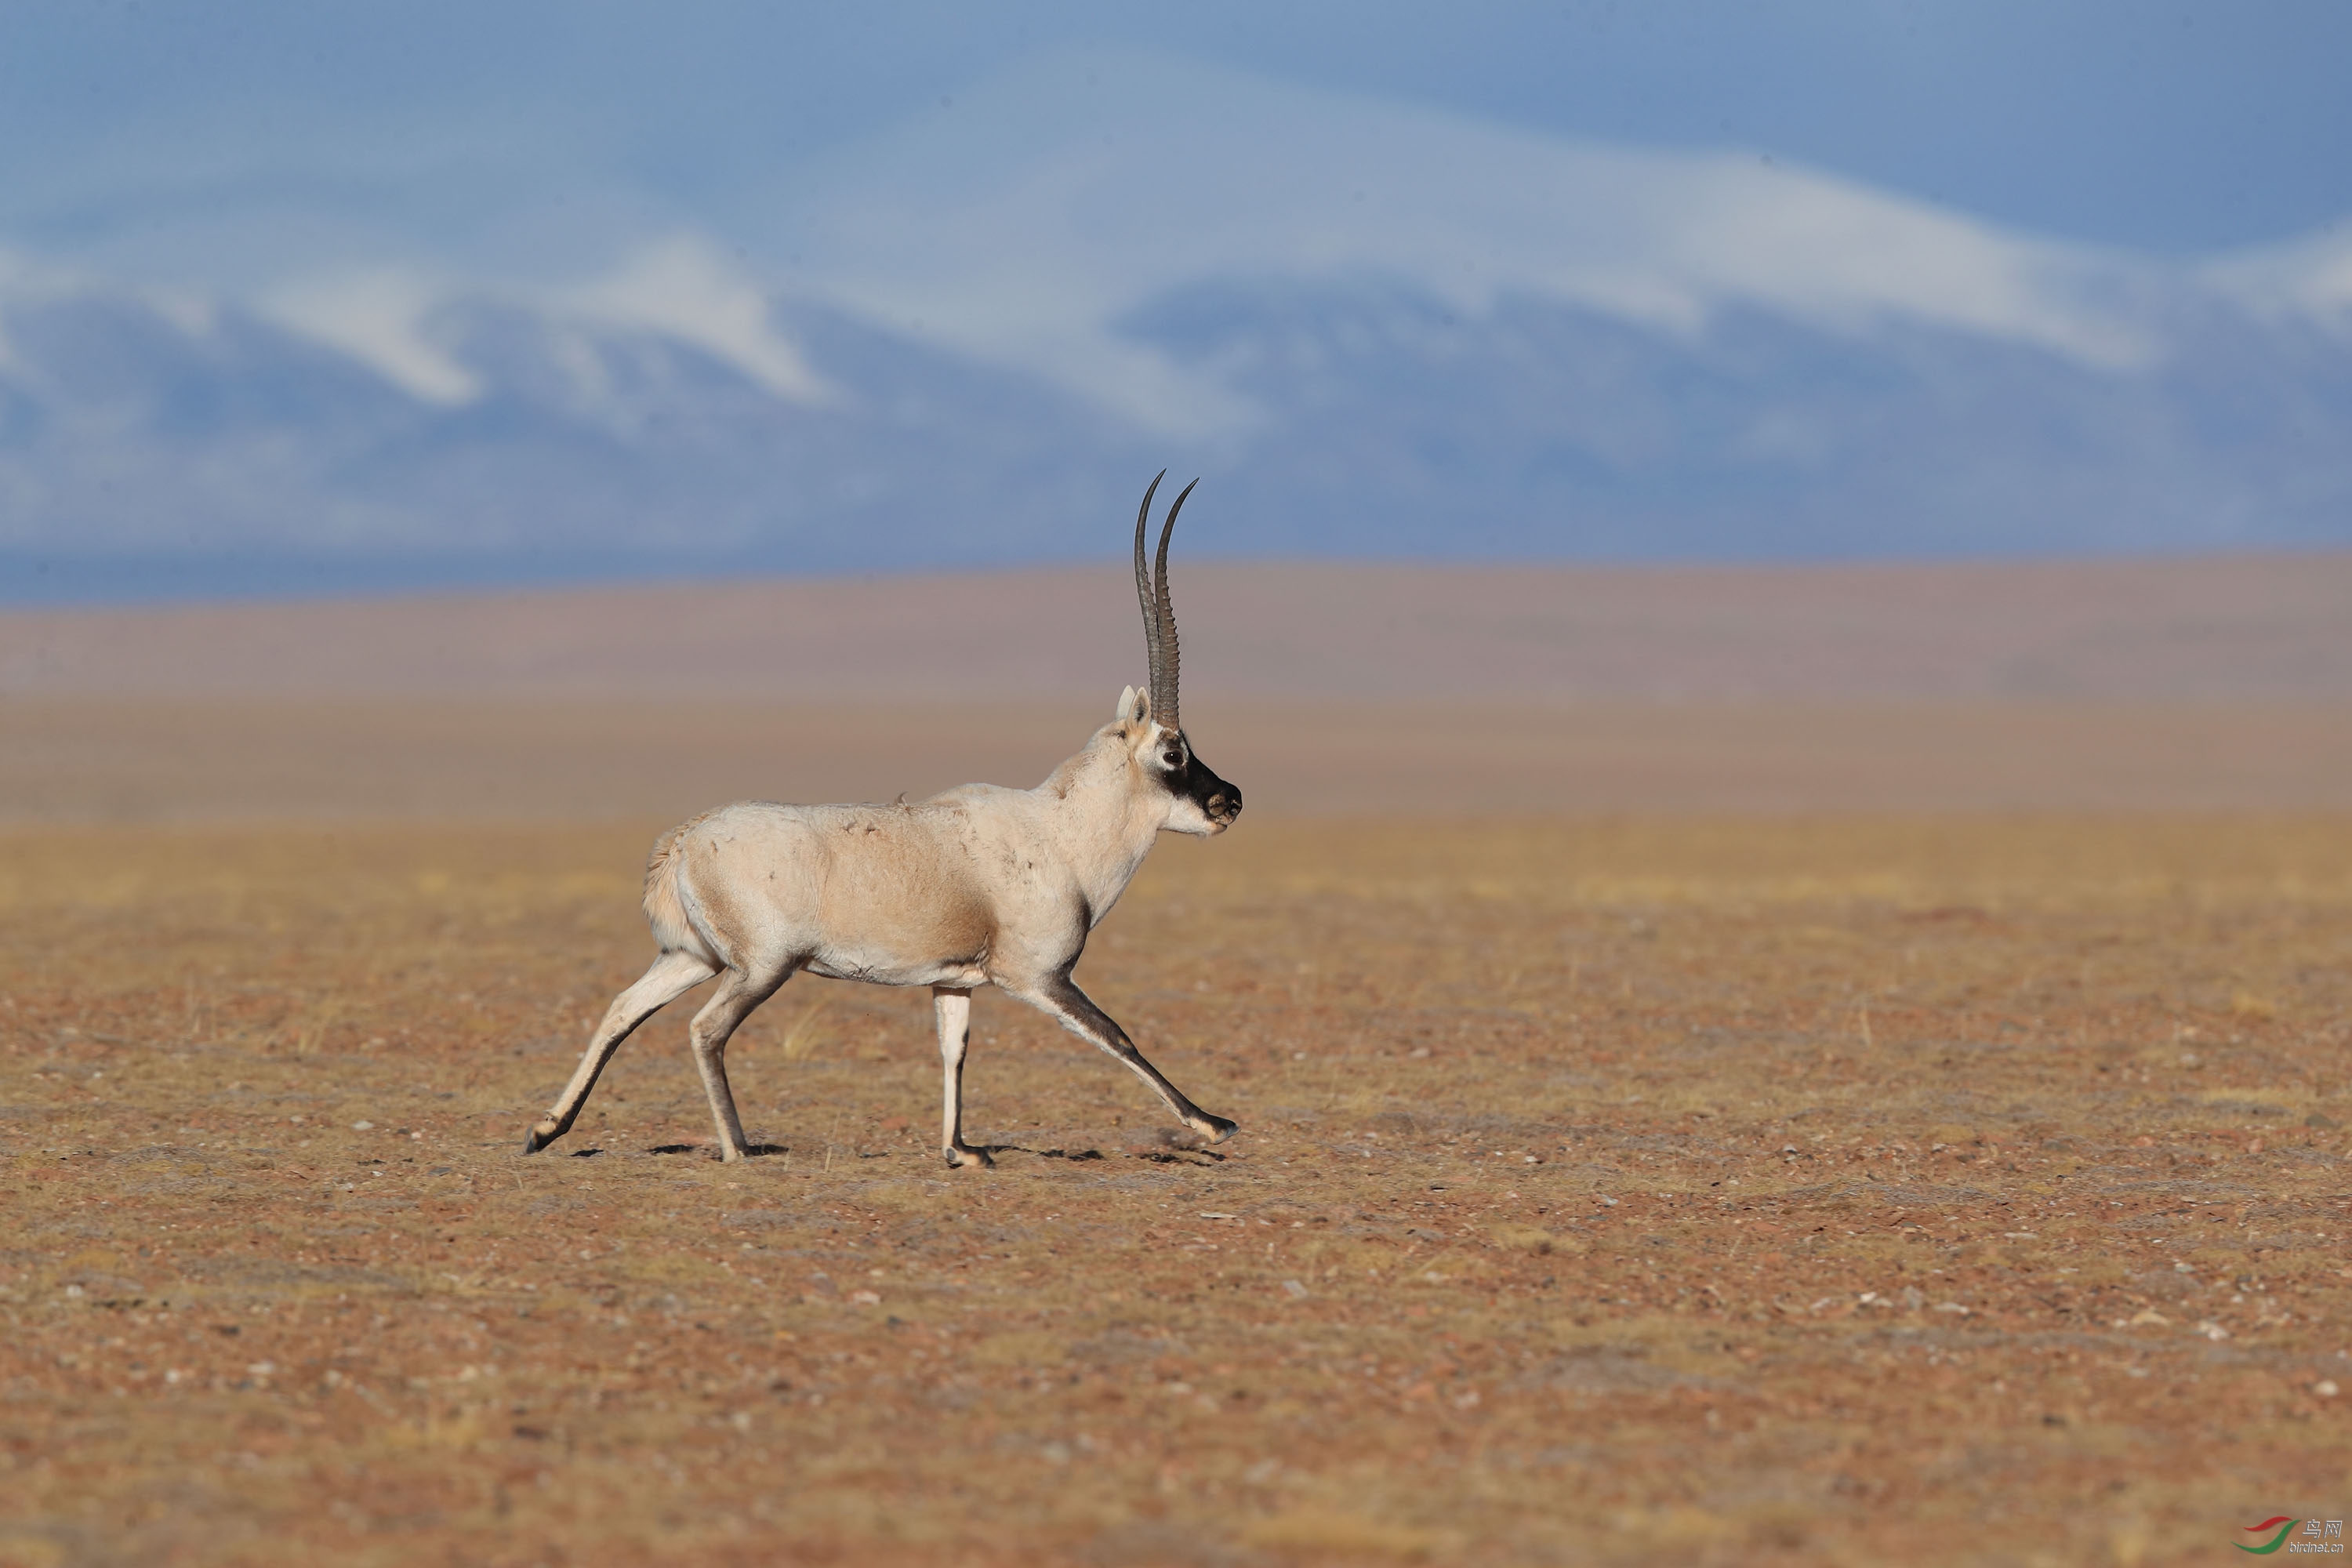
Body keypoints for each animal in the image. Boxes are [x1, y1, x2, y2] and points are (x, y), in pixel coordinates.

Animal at [522, 474, 1242, 1166]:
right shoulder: (1040, 976)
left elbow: (954, 1050)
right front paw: (1212, 1123)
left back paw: (545, 1130)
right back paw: (737, 1148)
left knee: (622, 1009)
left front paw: (961, 1151)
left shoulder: (955, 982)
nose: (1229, 801)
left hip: (689, 955)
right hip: (761, 967)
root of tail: (682, 841)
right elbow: (1115, 1034)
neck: (1060, 832)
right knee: (705, 1029)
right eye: (1173, 752)